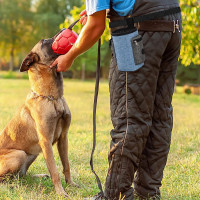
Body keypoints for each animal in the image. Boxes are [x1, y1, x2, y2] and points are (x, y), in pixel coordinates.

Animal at [0, 36, 74, 197]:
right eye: (44, 41)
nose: (63, 33)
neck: (52, 98)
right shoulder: (46, 141)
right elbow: (54, 170)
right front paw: (60, 192)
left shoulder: (63, 138)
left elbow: (66, 165)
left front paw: (71, 184)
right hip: (19, 154)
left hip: (30, 156)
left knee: (21, 175)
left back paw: (38, 176)